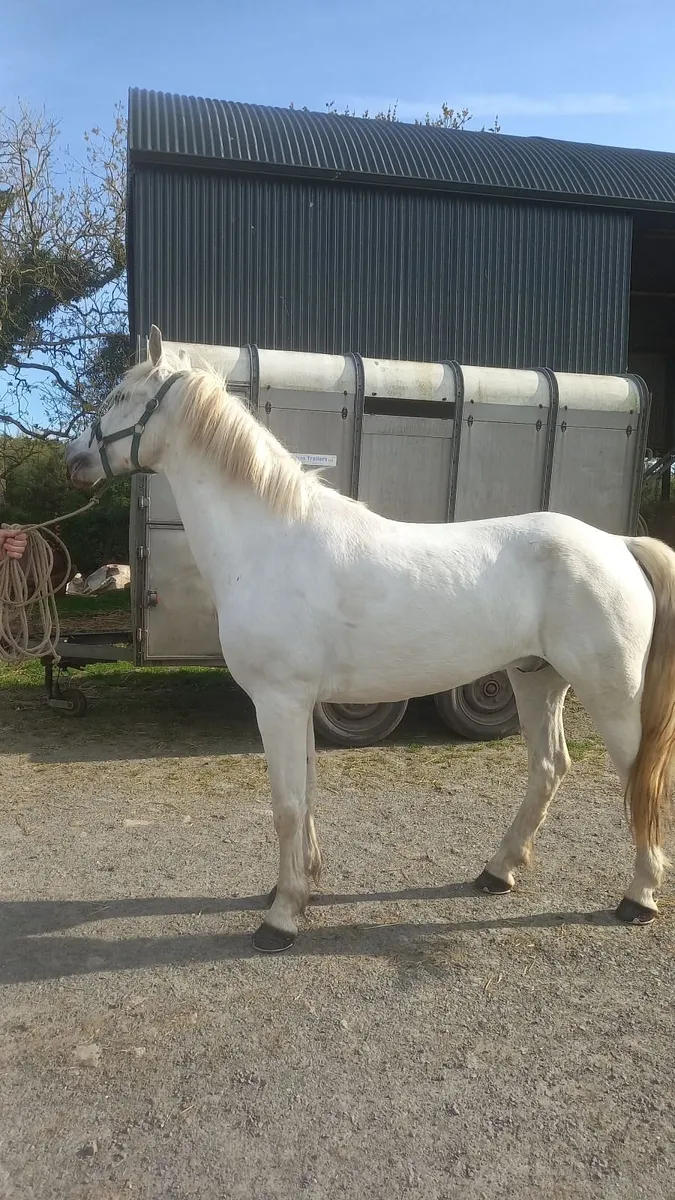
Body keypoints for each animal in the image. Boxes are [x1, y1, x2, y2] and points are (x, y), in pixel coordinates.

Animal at [64, 325, 675, 953]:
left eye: (119, 396)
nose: (72, 460)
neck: (271, 541)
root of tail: (619, 543)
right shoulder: (298, 703)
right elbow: (306, 793)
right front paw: (301, 885)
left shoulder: (278, 701)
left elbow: (287, 804)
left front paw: (281, 917)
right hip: (536, 679)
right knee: (550, 767)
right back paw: (497, 871)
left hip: (612, 694)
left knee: (643, 779)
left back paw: (638, 898)